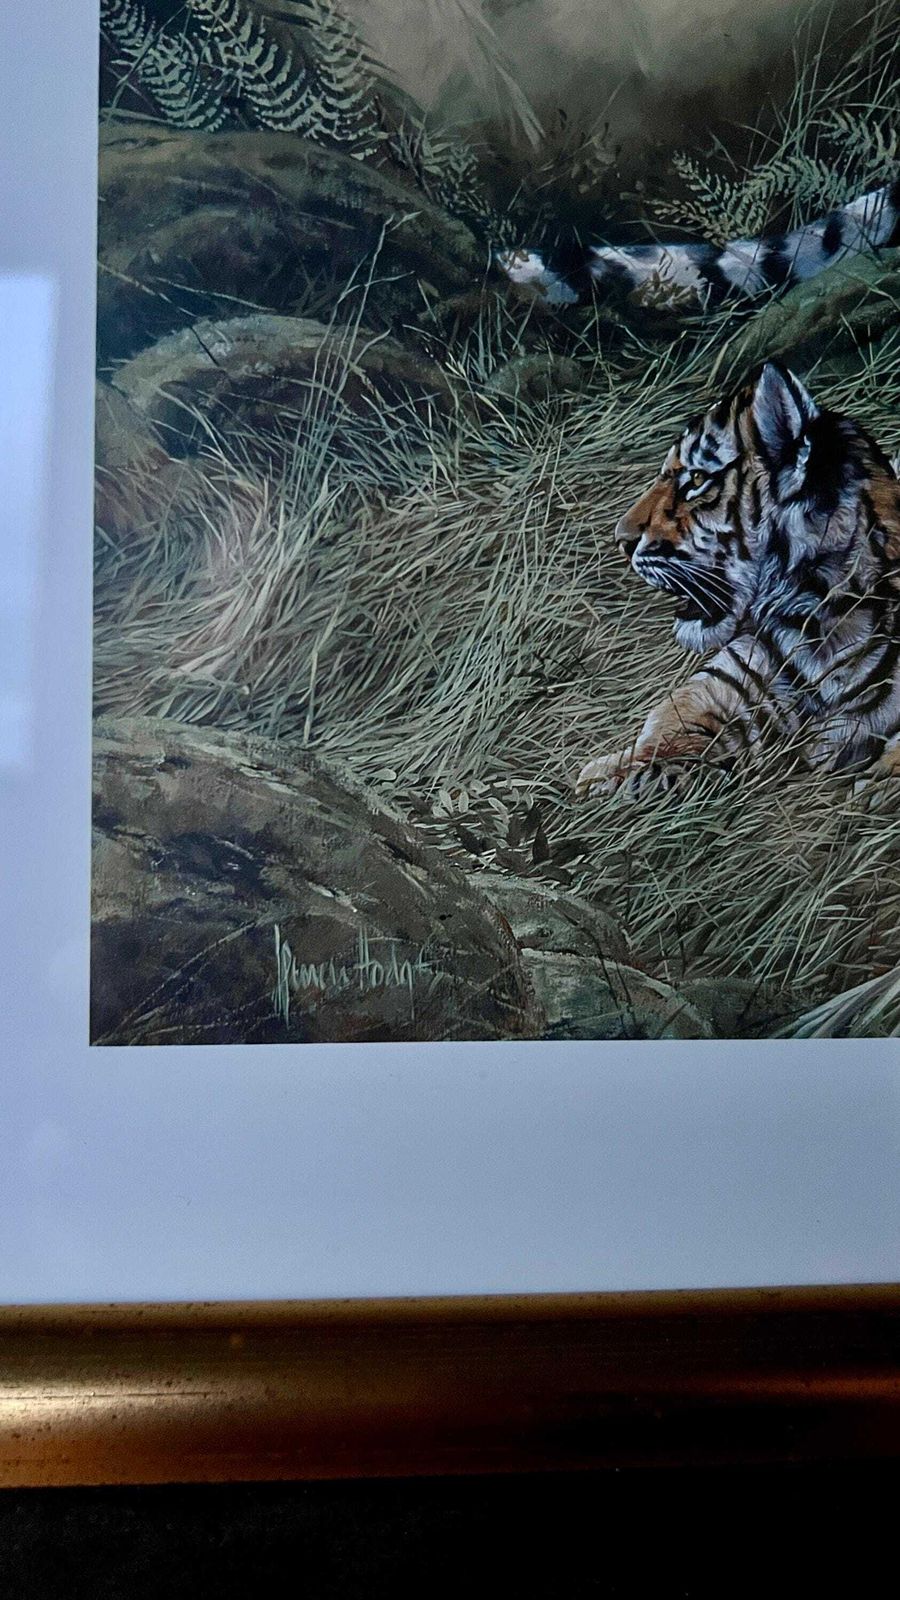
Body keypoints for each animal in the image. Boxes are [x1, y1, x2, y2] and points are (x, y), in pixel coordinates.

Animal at [574, 361, 900, 799]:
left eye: (696, 480)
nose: (620, 539)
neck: (819, 628)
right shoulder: (723, 688)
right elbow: (667, 737)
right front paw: (599, 780)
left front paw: (878, 786)